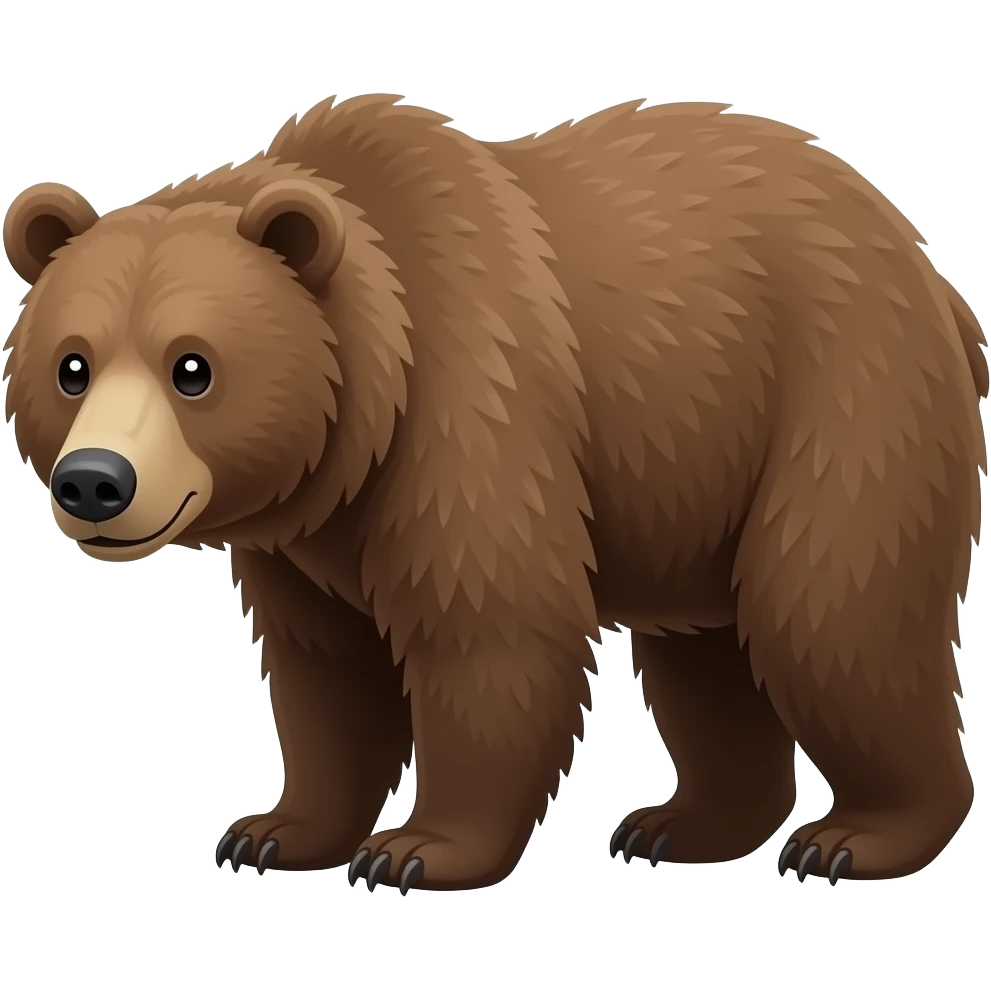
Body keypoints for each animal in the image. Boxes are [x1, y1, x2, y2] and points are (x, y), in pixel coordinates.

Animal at [1, 95, 985, 892]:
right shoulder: (301, 538)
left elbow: (487, 629)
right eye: (72, 364)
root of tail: (932, 274)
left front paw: (417, 848)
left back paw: (853, 836)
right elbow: (325, 669)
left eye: (192, 367)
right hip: (702, 465)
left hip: (845, 397)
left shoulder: (471, 403)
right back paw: (681, 823)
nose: (95, 480)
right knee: (704, 651)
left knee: (826, 614)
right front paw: (274, 830)